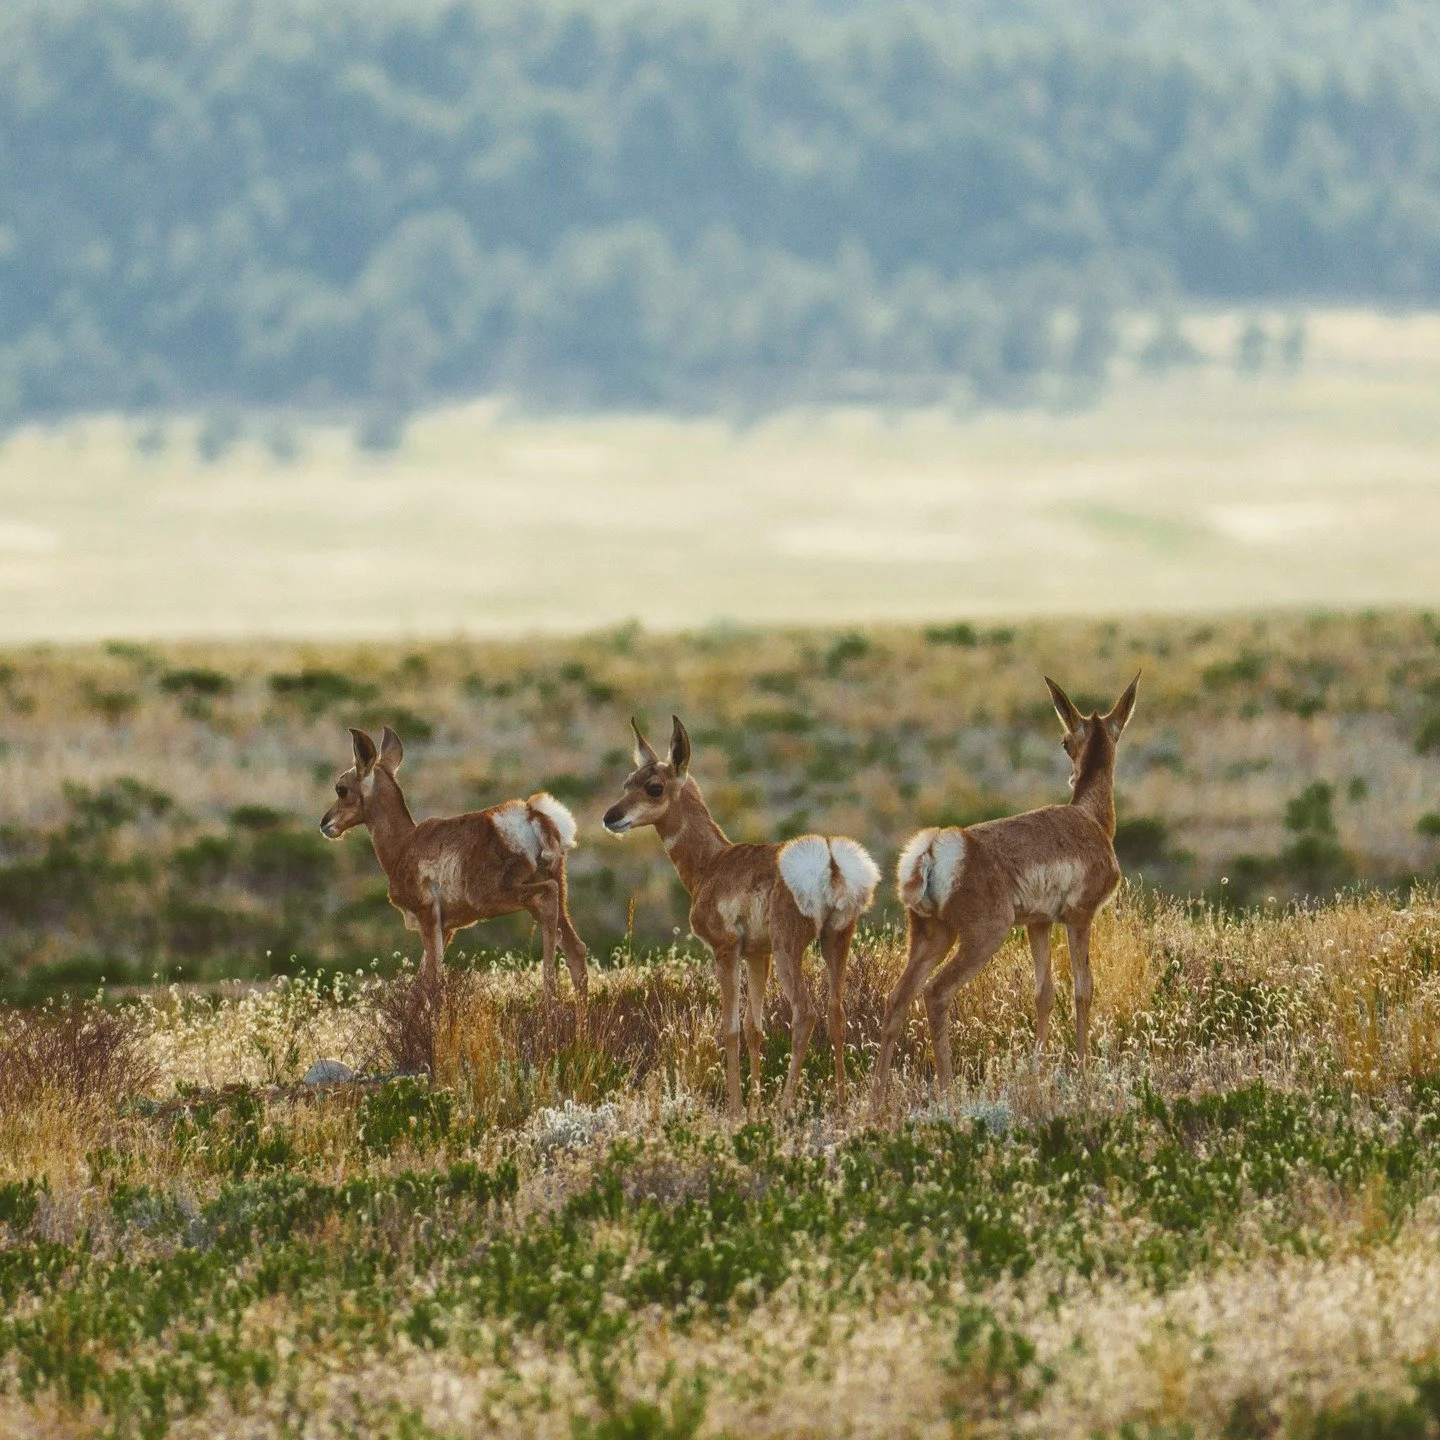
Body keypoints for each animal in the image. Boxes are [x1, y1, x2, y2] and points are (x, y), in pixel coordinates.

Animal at [319, 726, 588, 1006]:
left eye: (341, 789)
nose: (324, 823)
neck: (404, 844)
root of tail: (533, 814)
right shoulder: (447, 927)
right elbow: (421, 983)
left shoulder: (427, 915)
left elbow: (433, 980)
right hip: (549, 893)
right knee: (576, 949)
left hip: (492, 897)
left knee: (548, 895)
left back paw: (550, 998)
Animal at [603, 715, 880, 1115]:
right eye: (628, 781)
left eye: (654, 787)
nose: (610, 817)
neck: (713, 862)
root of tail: (830, 858)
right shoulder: (756, 955)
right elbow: (754, 1028)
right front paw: (753, 1104)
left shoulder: (727, 950)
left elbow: (731, 1027)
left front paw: (736, 1108)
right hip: (835, 940)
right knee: (836, 1012)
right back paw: (841, 1103)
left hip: (789, 948)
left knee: (805, 1014)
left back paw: (785, 1106)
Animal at [871, 674, 1140, 1109]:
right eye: (1065, 741)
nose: (1071, 775)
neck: (1089, 818)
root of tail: (935, 846)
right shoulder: (1080, 918)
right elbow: (1084, 989)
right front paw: (1082, 1072)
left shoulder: (1038, 925)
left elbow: (1044, 993)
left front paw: (1037, 1071)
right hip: (983, 936)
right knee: (935, 993)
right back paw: (948, 1092)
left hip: (932, 937)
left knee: (897, 998)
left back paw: (876, 1096)